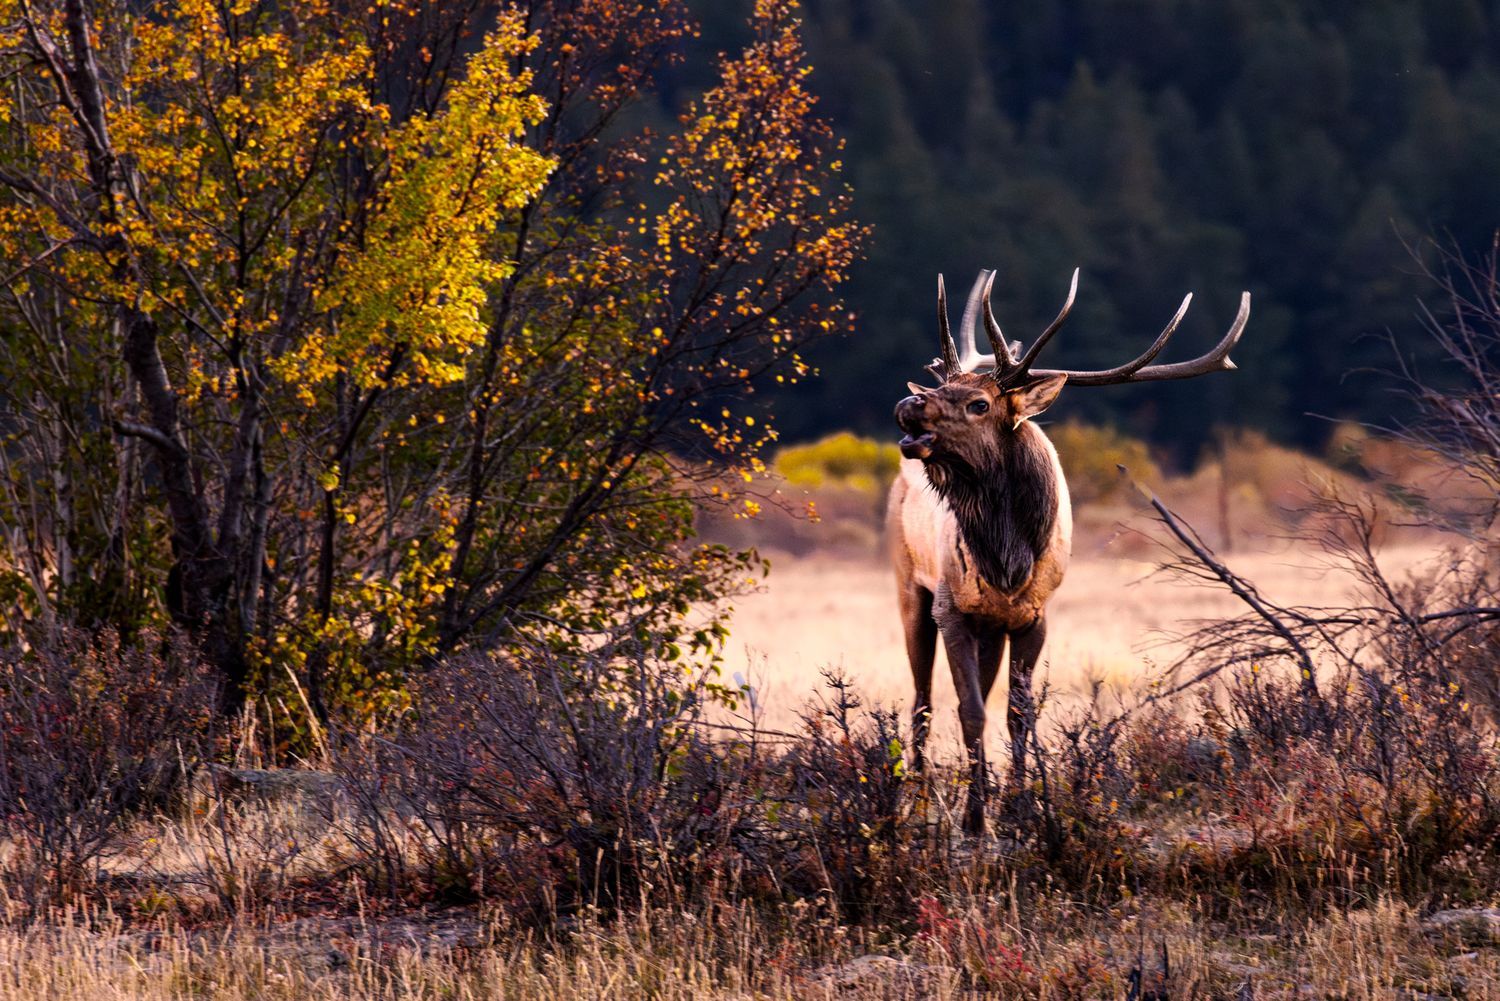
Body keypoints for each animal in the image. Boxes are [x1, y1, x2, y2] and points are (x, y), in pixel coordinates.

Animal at [888, 268, 1251, 833]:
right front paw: (975, 818)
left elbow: (1016, 712)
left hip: (989, 625)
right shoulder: (950, 605)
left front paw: (1017, 808)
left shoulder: (1034, 615)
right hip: (909, 587)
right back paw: (919, 799)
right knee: (922, 700)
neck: (1008, 560)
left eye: (979, 403)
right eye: (942, 388)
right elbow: (970, 709)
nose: (909, 406)